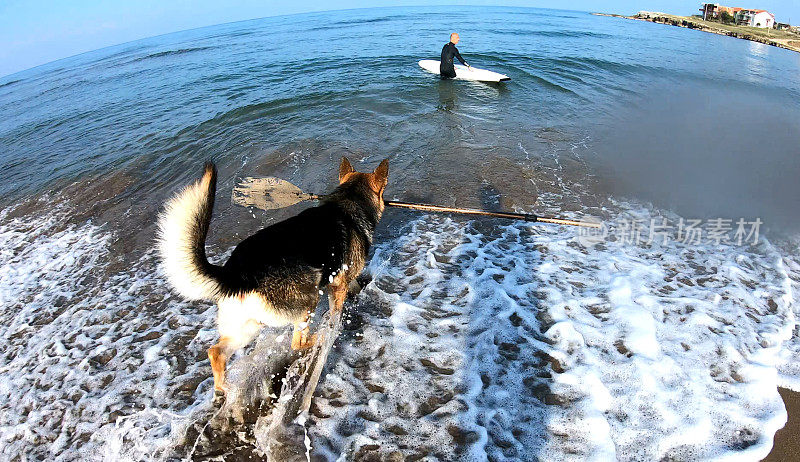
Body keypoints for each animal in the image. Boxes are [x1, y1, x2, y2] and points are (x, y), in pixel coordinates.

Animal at [155, 157, 388, 392]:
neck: (347, 201)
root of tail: (234, 273)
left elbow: (355, 285)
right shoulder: (338, 284)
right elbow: (336, 310)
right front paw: (337, 322)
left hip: (247, 327)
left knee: (216, 352)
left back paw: (223, 388)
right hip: (308, 299)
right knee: (297, 343)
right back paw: (318, 338)